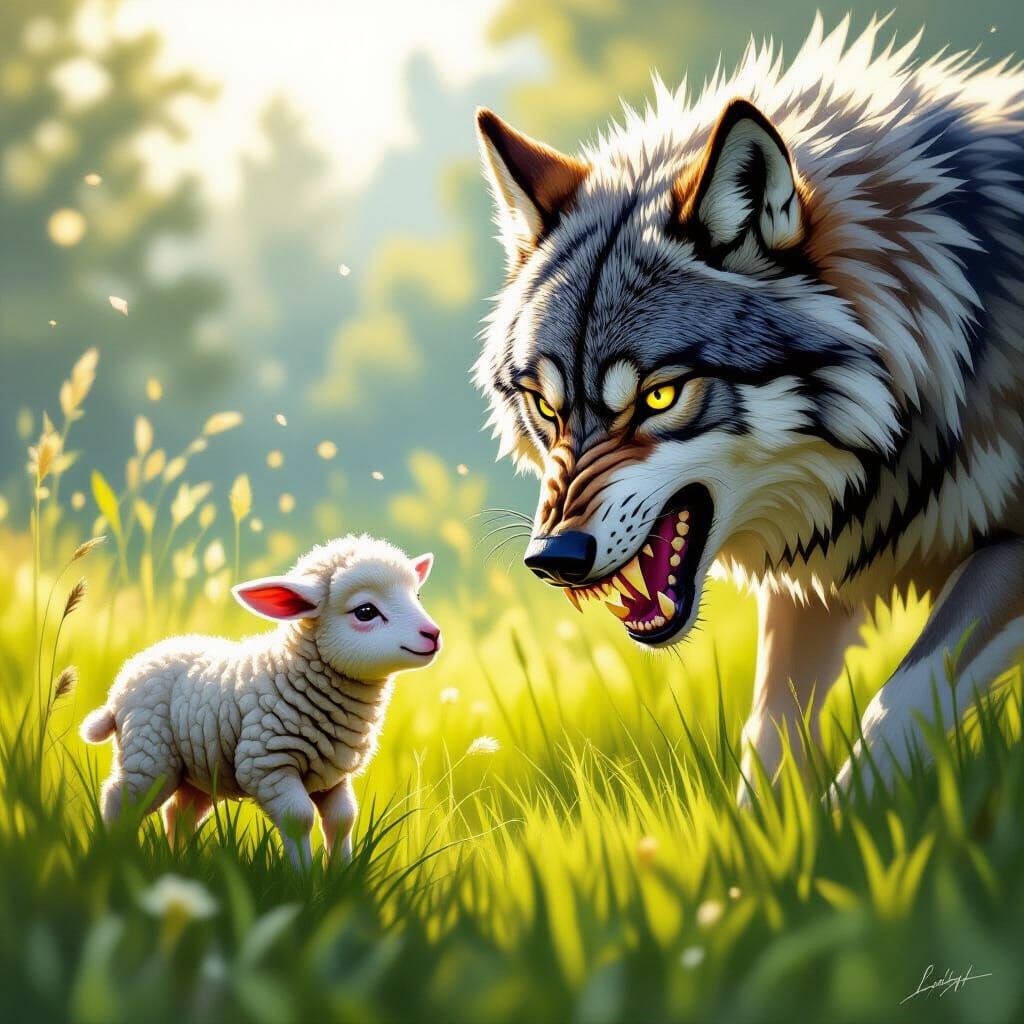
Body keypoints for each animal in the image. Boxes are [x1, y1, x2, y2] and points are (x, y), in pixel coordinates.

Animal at [80, 534, 441, 866]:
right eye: (365, 611)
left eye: (417, 595)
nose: (433, 634)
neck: (289, 670)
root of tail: (122, 682)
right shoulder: (266, 764)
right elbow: (299, 818)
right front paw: (304, 880)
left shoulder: (333, 774)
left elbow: (343, 819)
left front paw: (343, 877)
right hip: (150, 752)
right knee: (119, 798)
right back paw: (112, 857)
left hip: (198, 766)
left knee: (179, 813)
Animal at [473, 16, 1024, 798]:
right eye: (547, 409)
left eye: (660, 395)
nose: (554, 559)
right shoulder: (818, 566)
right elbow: (766, 732)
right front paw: (775, 832)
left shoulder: (1002, 551)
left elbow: (893, 706)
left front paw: (848, 822)